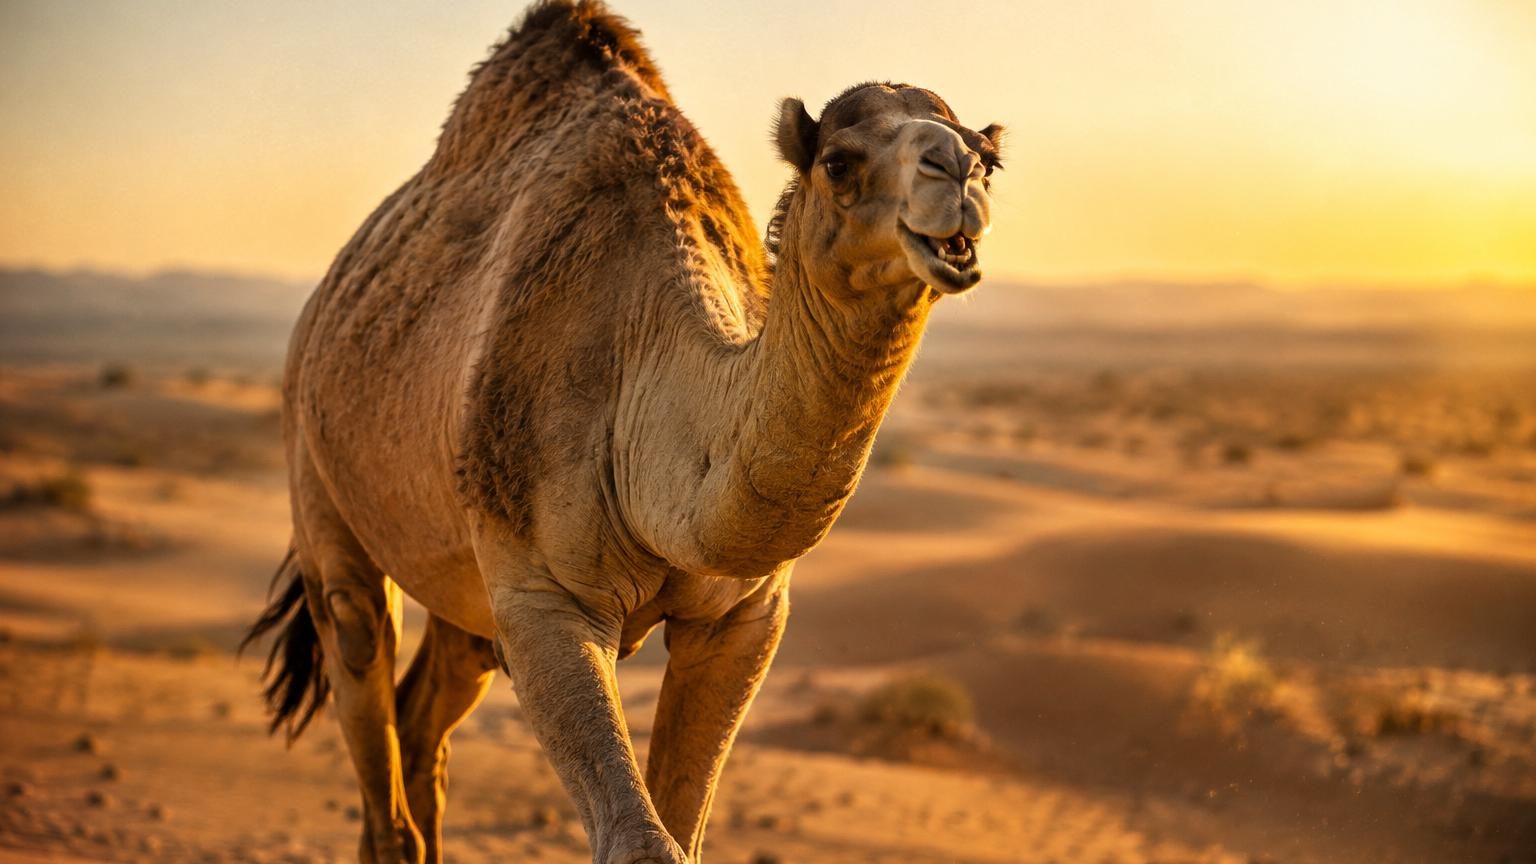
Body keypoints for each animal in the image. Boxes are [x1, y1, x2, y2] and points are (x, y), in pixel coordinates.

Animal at [243, 2, 1002, 862]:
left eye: (990, 158)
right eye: (839, 162)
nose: (957, 174)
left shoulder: (744, 616)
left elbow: (685, 828)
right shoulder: (544, 600)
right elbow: (641, 841)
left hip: (461, 586)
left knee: (424, 713)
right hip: (316, 469)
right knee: (360, 653)